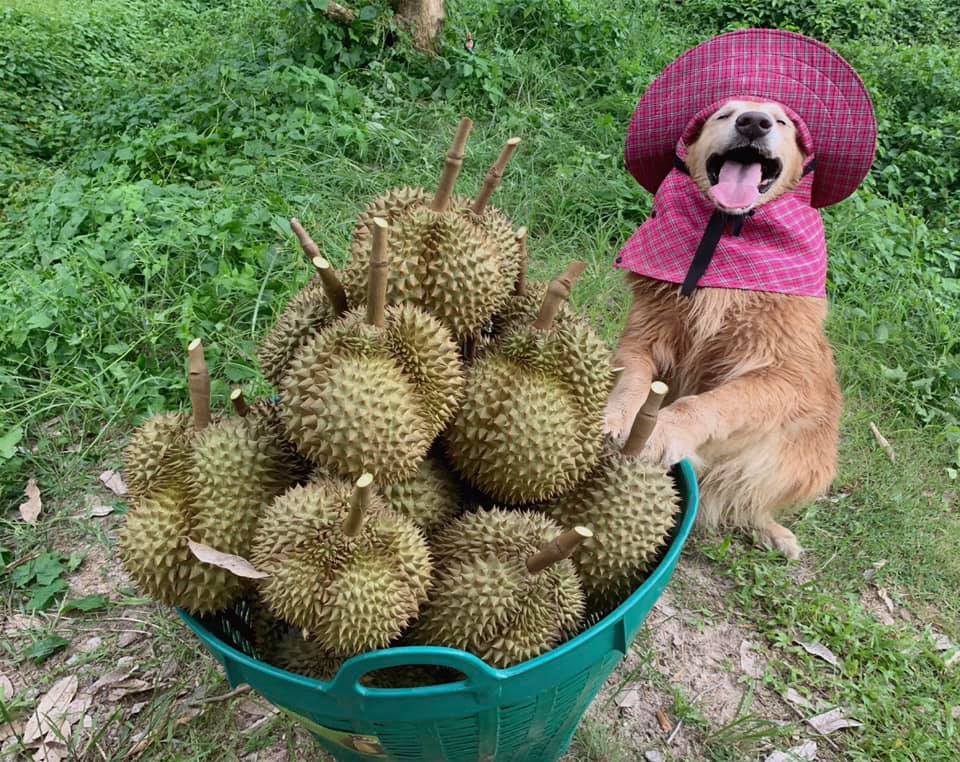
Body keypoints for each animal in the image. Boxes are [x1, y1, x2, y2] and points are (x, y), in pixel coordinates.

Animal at [608, 98, 840, 556]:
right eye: (724, 113)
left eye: (781, 121)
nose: (754, 122)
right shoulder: (642, 339)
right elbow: (634, 383)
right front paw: (617, 417)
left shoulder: (779, 374)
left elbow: (714, 403)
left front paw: (666, 429)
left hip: (811, 456)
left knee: (747, 498)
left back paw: (773, 532)